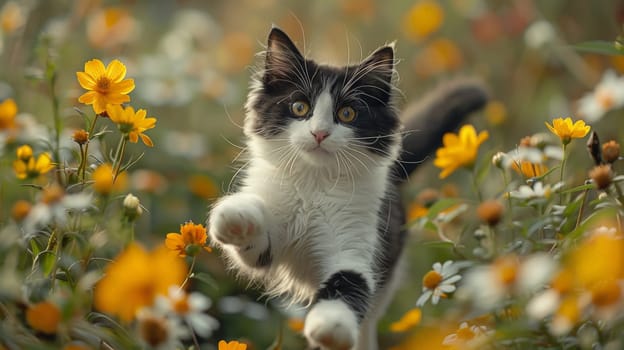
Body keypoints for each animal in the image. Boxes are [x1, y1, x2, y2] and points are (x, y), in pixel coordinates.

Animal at [206, 26, 488, 348]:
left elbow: (347, 284)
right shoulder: (263, 252)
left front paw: (331, 325)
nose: (319, 133)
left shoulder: (358, 243)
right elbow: (254, 231)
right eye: (299, 107)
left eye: (347, 114)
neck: (314, 184)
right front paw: (235, 217)